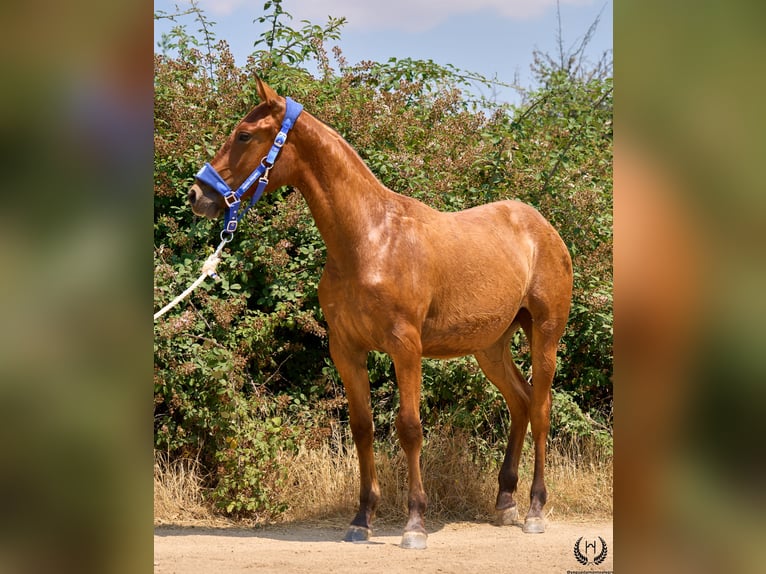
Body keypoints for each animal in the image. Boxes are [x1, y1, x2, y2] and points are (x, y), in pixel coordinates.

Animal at [188, 78, 573, 549]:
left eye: (244, 135)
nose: (197, 195)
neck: (370, 239)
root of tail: (543, 227)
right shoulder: (346, 349)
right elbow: (362, 427)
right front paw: (361, 518)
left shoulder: (405, 347)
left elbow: (409, 428)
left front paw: (414, 524)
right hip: (490, 346)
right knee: (519, 402)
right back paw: (505, 502)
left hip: (545, 334)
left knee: (540, 408)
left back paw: (535, 509)